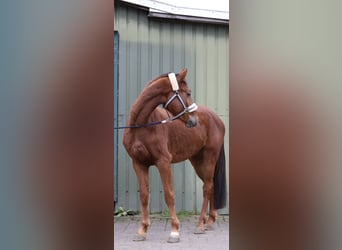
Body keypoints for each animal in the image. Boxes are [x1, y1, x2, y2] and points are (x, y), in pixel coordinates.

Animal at [121, 68, 226, 242]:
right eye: (188, 93)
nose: (194, 121)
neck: (142, 125)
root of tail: (217, 119)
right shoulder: (138, 163)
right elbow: (144, 195)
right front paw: (142, 231)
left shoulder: (163, 162)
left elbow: (169, 195)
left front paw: (174, 231)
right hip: (197, 161)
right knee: (210, 185)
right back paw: (209, 222)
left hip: (209, 157)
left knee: (207, 187)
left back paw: (200, 225)